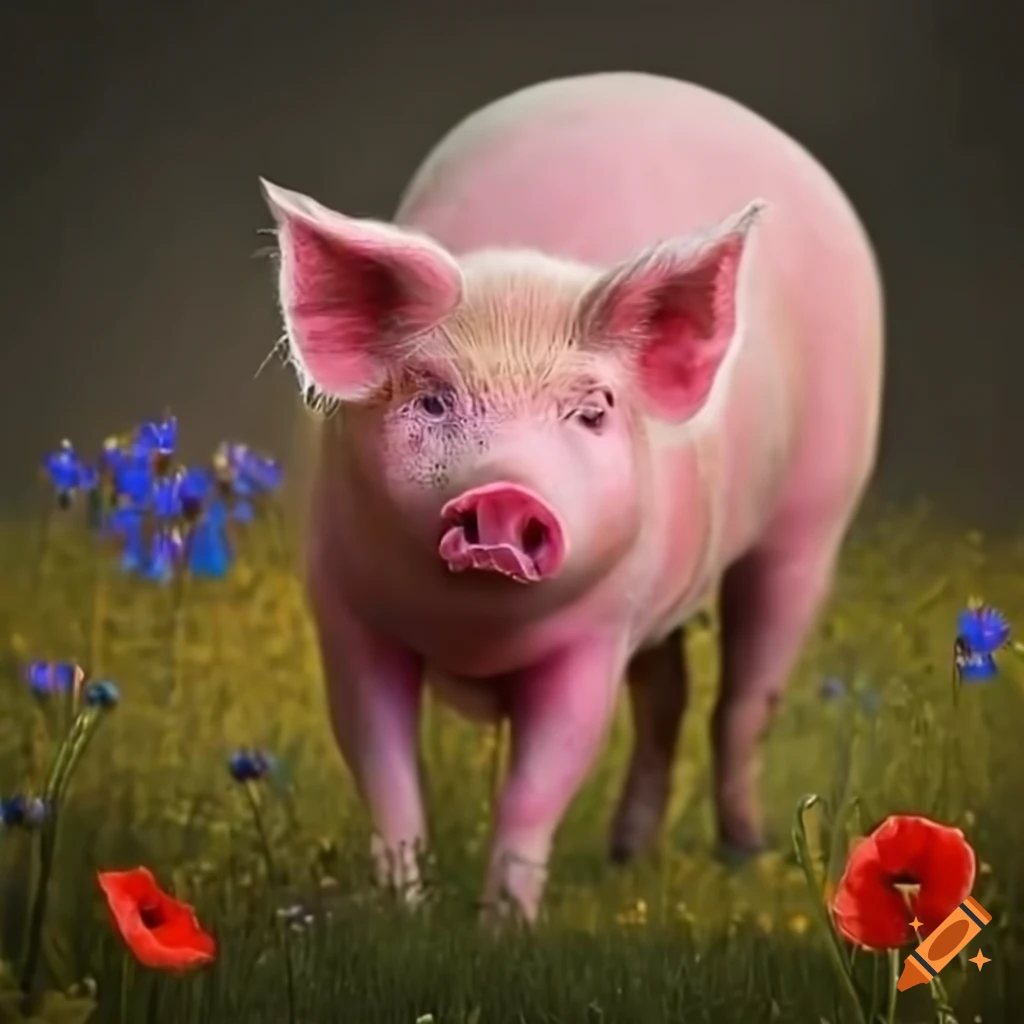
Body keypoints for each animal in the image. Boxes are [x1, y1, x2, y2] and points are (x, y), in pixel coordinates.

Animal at [261, 71, 884, 924]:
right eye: (431, 400)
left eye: (592, 411)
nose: (505, 492)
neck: (475, 632)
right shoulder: (344, 611)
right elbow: (381, 763)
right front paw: (404, 915)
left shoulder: (596, 633)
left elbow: (542, 779)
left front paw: (506, 931)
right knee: (669, 693)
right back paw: (627, 856)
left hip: (810, 522)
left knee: (744, 699)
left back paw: (743, 855)